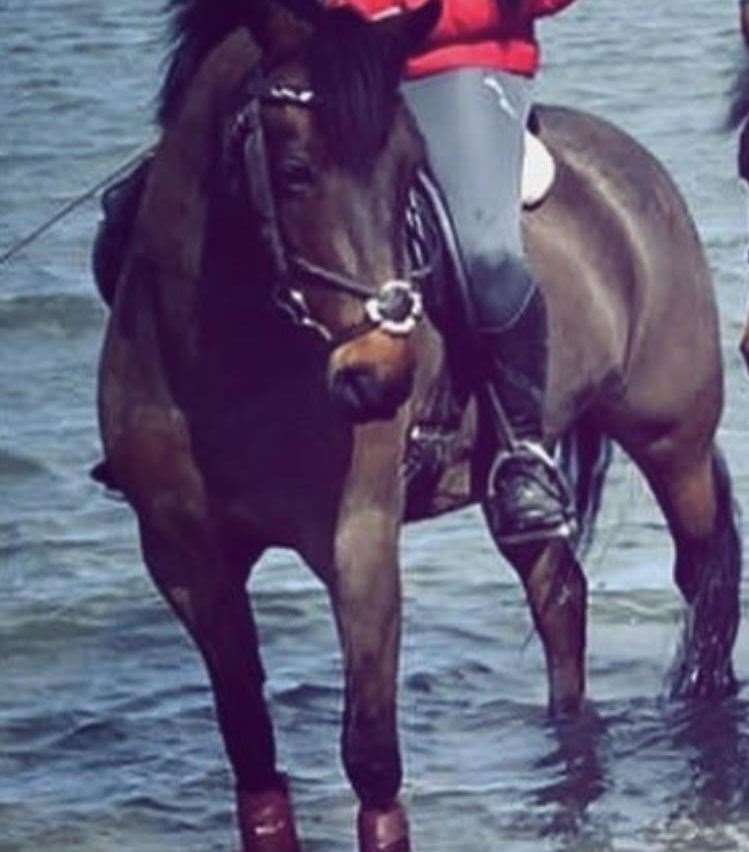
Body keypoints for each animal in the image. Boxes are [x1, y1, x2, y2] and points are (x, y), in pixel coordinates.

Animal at [98, 1, 744, 852]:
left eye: (410, 173)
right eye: (295, 171)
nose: (380, 375)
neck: (223, 350)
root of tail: (627, 168)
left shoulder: (358, 543)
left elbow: (372, 759)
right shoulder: (185, 559)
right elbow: (252, 761)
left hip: (672, 440)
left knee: (701, 576)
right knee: (559, 596)